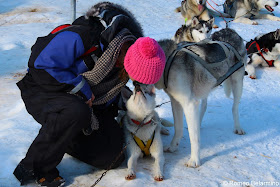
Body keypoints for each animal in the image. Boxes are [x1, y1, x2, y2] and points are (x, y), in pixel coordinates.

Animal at [155, 28, 247, 167]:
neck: (168, 61)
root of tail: (229, 30)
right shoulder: (176, 101)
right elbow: (178, 127)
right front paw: (173, 146)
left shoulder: (188, 104)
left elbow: (194, 137)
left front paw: (194, 160)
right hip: (205, 88)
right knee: (204, 107)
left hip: (237, 83)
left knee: (234, 107)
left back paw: (238, 127)